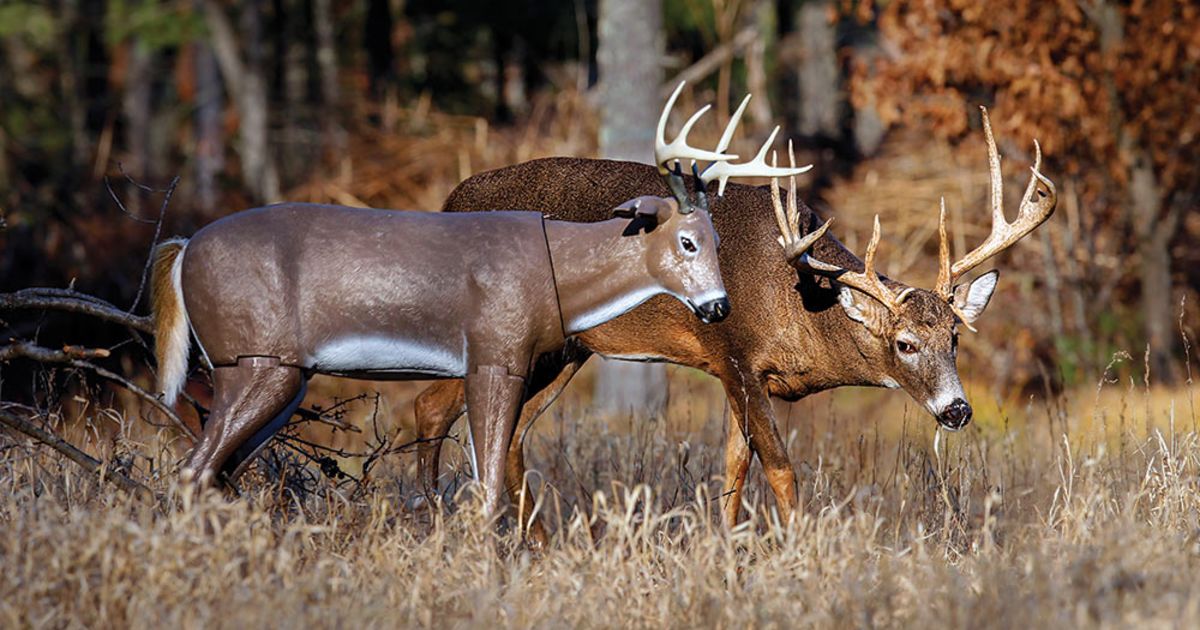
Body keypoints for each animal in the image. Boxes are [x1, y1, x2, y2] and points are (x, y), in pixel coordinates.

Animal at [150, 83, 801, 516]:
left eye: (720, 240)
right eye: (687, 240)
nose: (719, 308)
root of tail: (181, 251)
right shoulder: (495, 355)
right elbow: (486, 482)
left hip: (285, 380)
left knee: (220, 471)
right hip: (258, 363)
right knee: (196, 470)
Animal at [410, 105, 1051, 537]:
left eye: (954, 338)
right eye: (904, 344)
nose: (957, 410)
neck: (800, 299)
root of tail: (448, 201)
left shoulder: (740, 373)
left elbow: (732, 468)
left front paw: (725, 549)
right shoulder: (734, 353)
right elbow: (781, 467)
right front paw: (798, 552)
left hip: (567, 349)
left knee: (506, 431)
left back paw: (534, 542)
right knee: (434, 407)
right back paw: (439, 522)